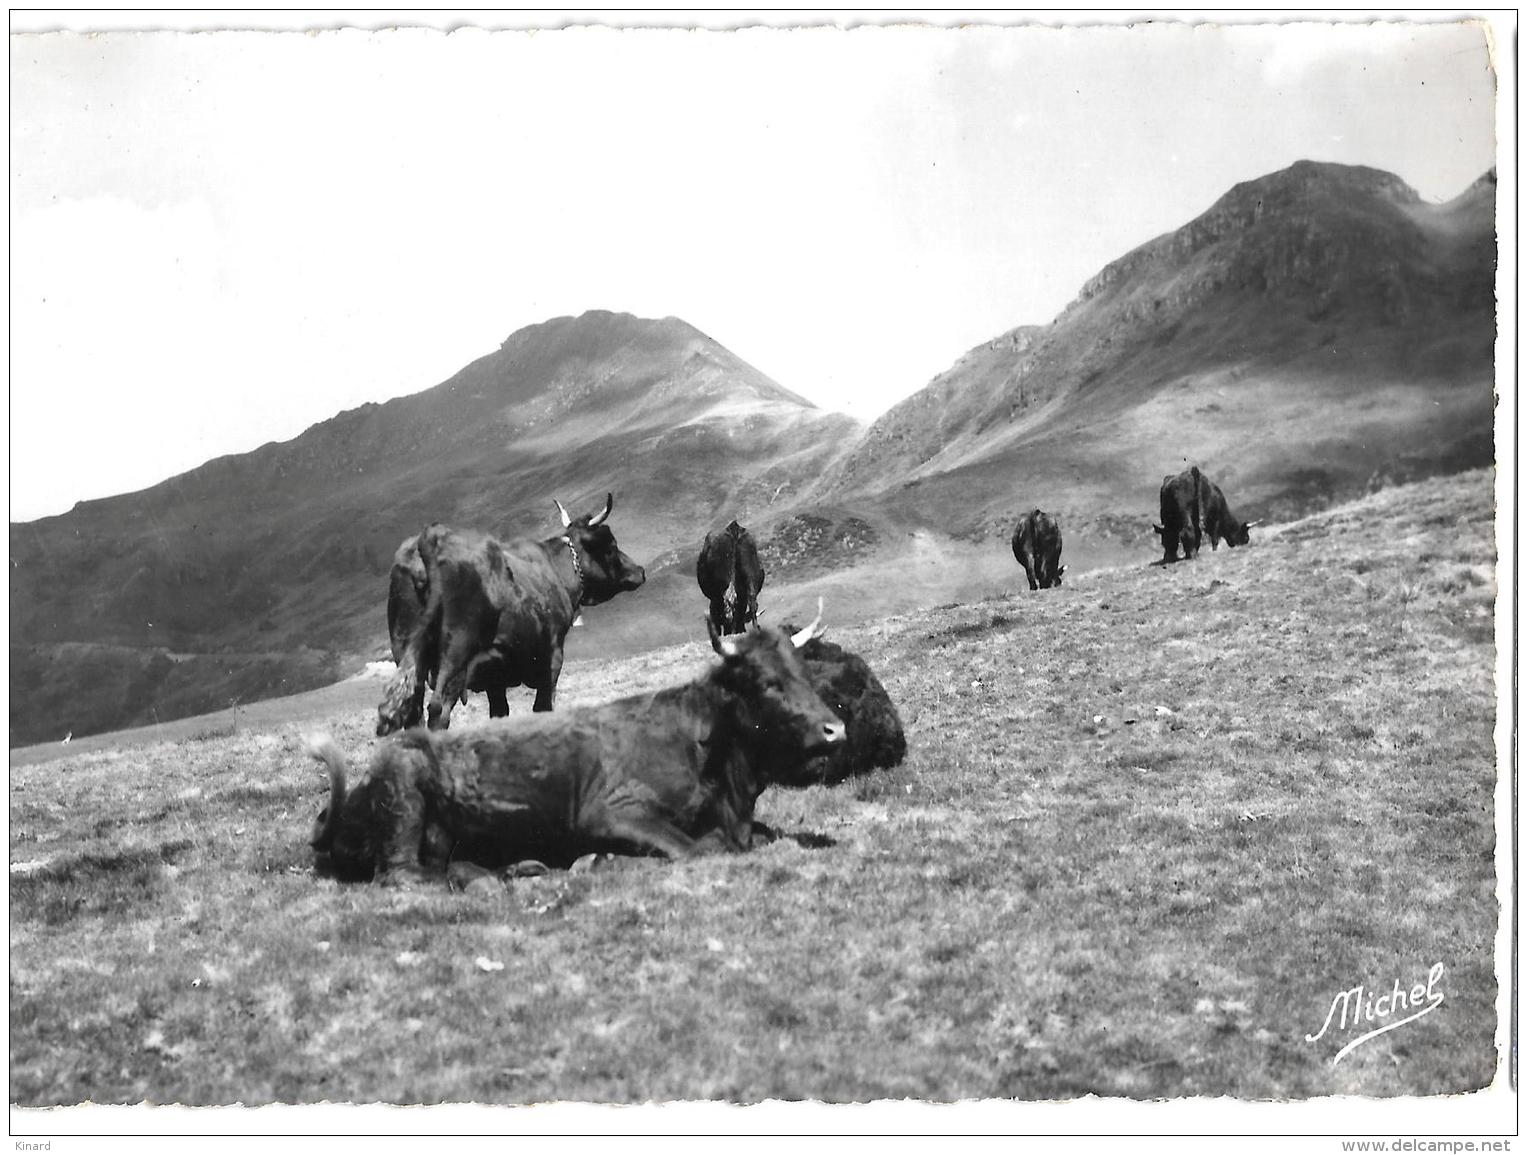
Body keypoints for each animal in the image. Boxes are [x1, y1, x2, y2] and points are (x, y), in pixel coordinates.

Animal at [308, 605, 842, 886]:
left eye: (805, 671)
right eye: (766, 681)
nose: (836, 730)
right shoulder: (610, 812)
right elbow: (699, 849)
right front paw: (600, 859)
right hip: (406, 801)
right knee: (403, 873)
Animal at [381, 491, 650, 736]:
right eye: (611, 546)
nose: (640, 570)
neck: (556, 570)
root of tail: (430, 539)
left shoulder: (495, 676)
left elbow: (500, 713)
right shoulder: (552, 658)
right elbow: (543, 707)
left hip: (405, 650)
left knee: (413, 715)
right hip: (455, 656)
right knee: (438, 712)